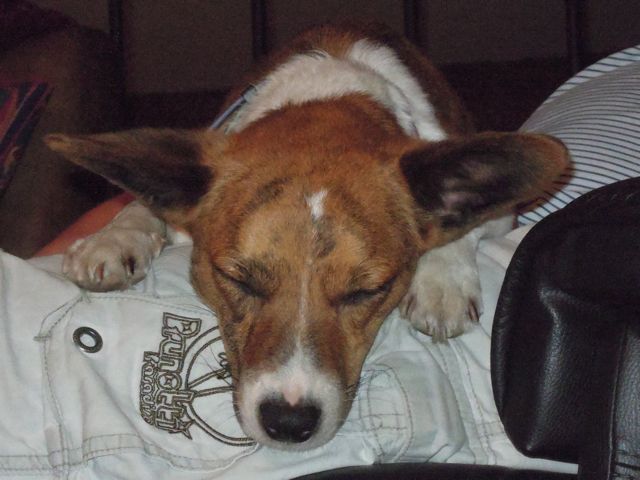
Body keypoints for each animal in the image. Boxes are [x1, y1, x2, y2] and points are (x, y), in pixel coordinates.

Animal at [45, 23, 568, 451]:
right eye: (239, 280)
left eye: (367, 291)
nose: (289, 423)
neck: (331, 95)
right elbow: (144, 206)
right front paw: (113, 240)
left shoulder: (498, 211)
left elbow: (460, 227)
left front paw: (441, 283)